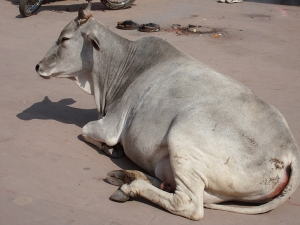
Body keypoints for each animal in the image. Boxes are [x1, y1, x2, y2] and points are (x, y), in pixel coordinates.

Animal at [35, 3, 300, 221]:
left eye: (64, 38)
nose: (37, 66)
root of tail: (290, 150)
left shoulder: (111, 125)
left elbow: (85, 130)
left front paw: (110, 148)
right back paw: (127, 176)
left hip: (182, 137)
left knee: (188, 204)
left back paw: (131, 186)